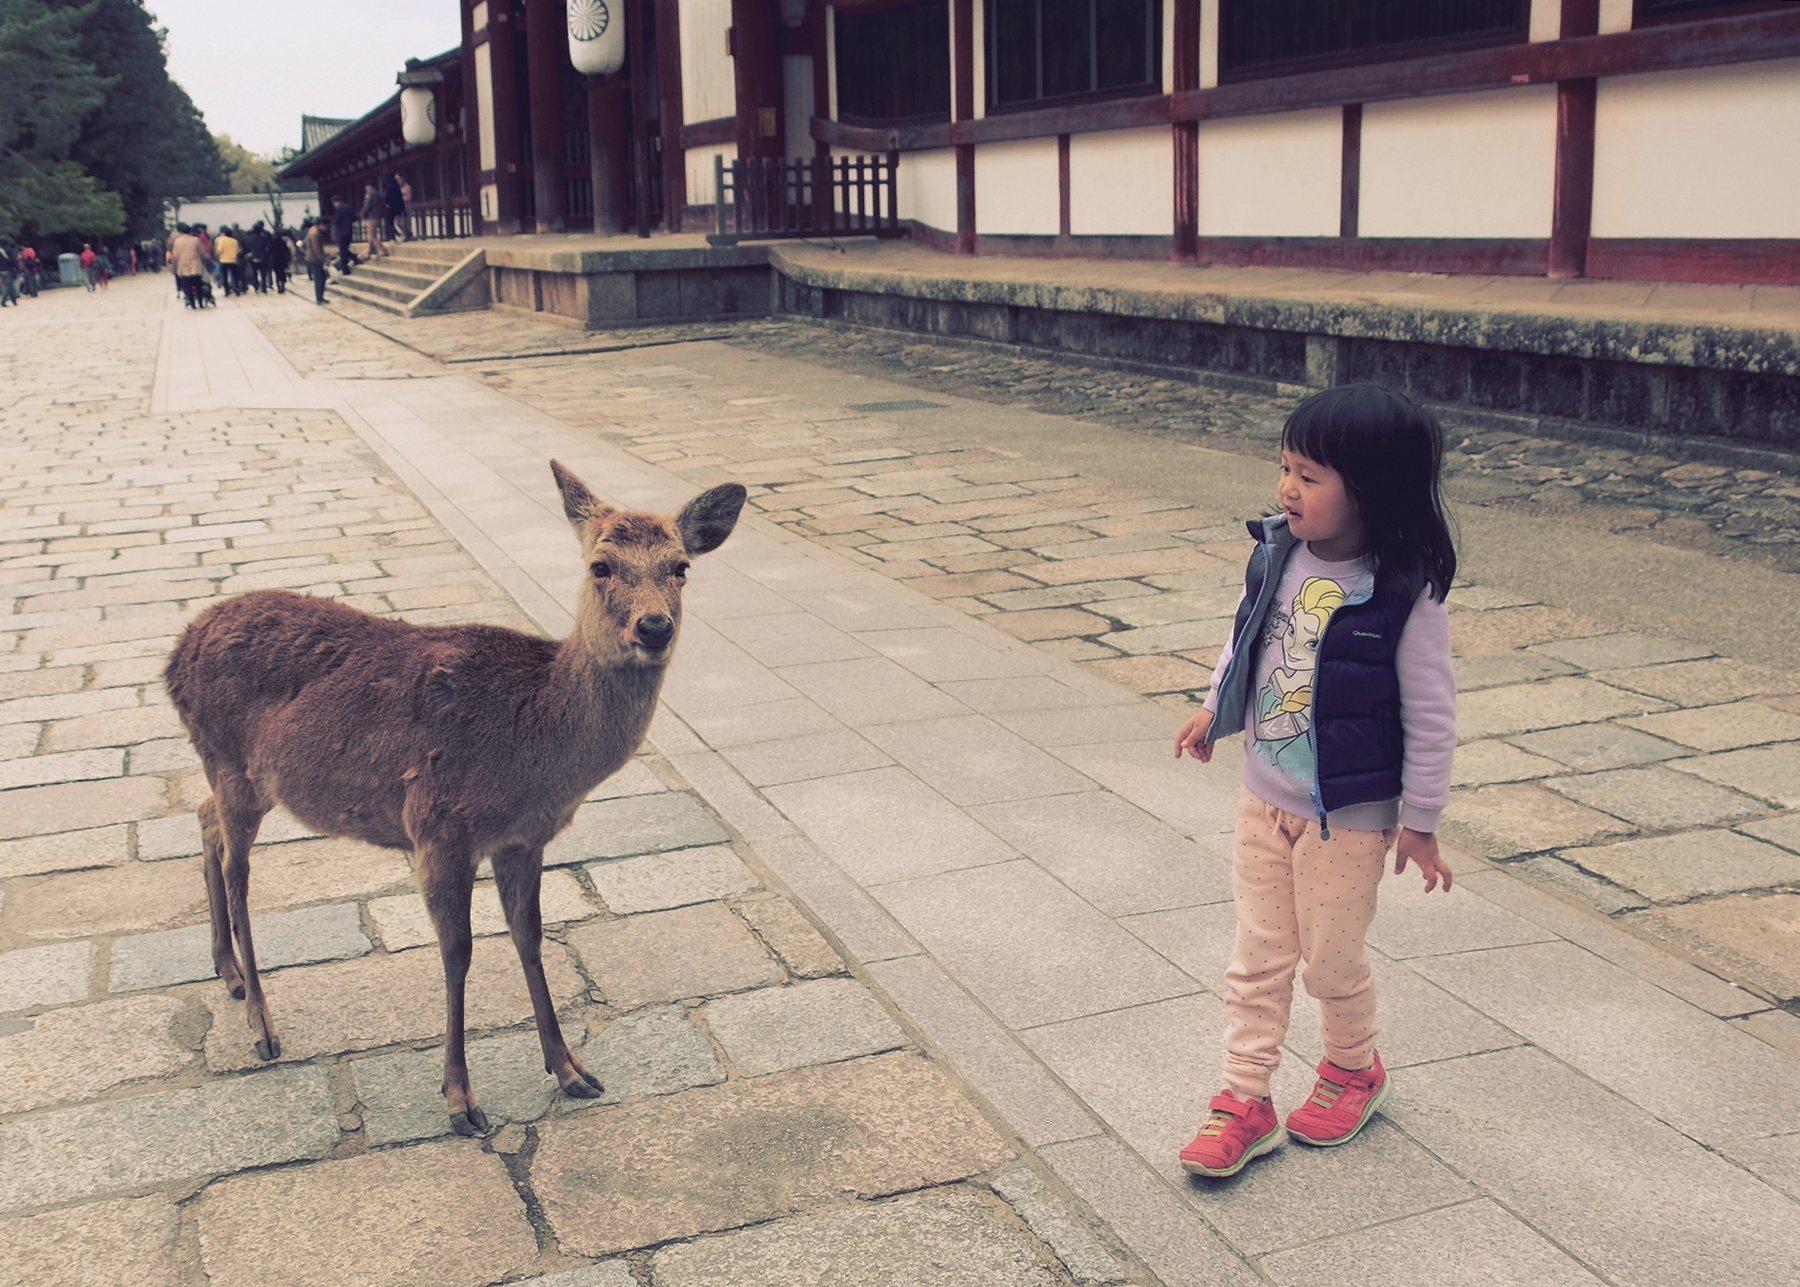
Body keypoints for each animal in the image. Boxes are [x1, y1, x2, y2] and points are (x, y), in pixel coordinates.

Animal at [165, 461, 746, 1135]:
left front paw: (571, 1070)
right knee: (238, 868)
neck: (537, 749)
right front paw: (461, 1099)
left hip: (236, 775)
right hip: (231, 760)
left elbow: (530, 937)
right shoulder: (439, 825)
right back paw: (262, 1025)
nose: (654, 628)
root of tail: (174, 655)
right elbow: (458, 952)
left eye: (681, 567)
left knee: (203, 820)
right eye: (600, 566)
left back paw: (227, 972)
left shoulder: (523, 839)